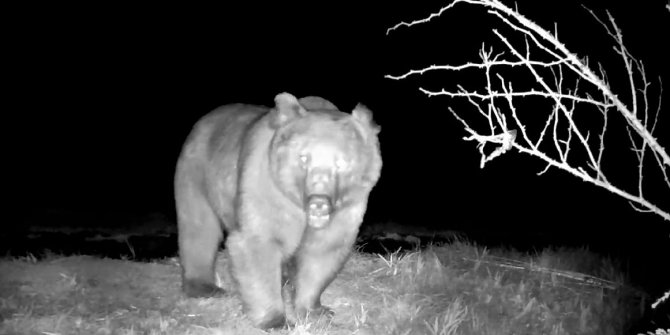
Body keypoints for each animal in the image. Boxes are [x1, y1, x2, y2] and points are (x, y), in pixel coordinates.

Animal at [173, 93, 384, 330]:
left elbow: (323, 250)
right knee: (199, 228)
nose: (318, 201)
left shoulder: (348, 207)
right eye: (303, 158)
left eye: (342, 162)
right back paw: (205, 287)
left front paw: (315, 310)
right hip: (197, 172)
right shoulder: (268, 186)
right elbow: (259, 242)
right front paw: (277, 320)